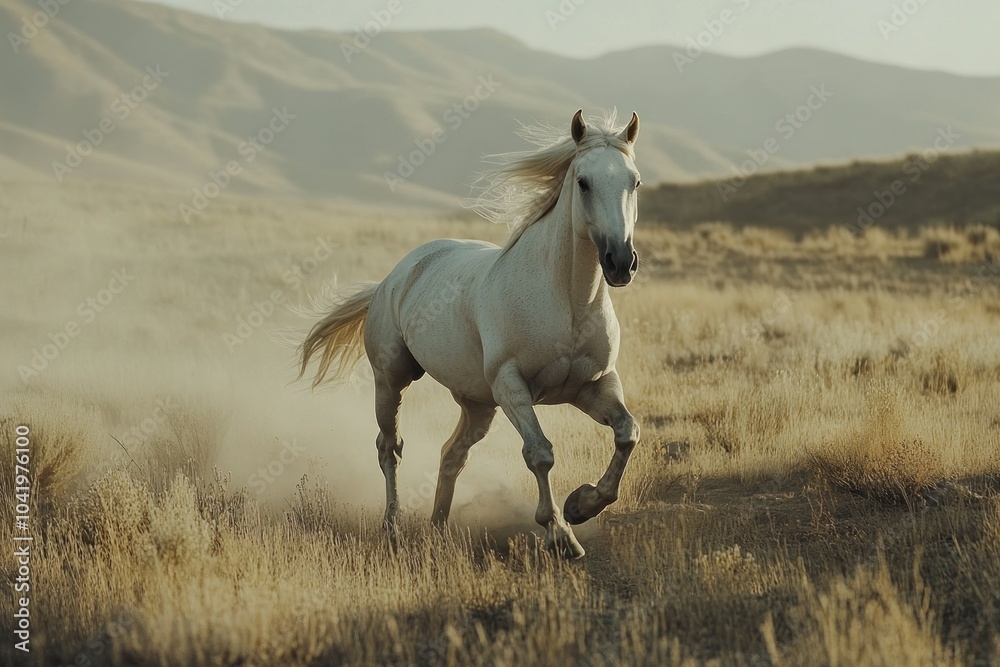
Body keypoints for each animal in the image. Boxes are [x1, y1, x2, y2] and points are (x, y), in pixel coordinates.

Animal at [299, 109, 642, 558]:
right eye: (583, 182)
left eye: (635, 181)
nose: (620, 262)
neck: (567, 301)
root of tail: (392, 279)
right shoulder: (511, 386)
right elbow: (539, 453)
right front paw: (560, 533)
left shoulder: (593, 386)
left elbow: (627, 433)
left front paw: (582, 504)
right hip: (392, 380)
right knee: (389, 448)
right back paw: (392, 528)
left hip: (478, 406)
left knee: (451, 455)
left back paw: (438, 529)